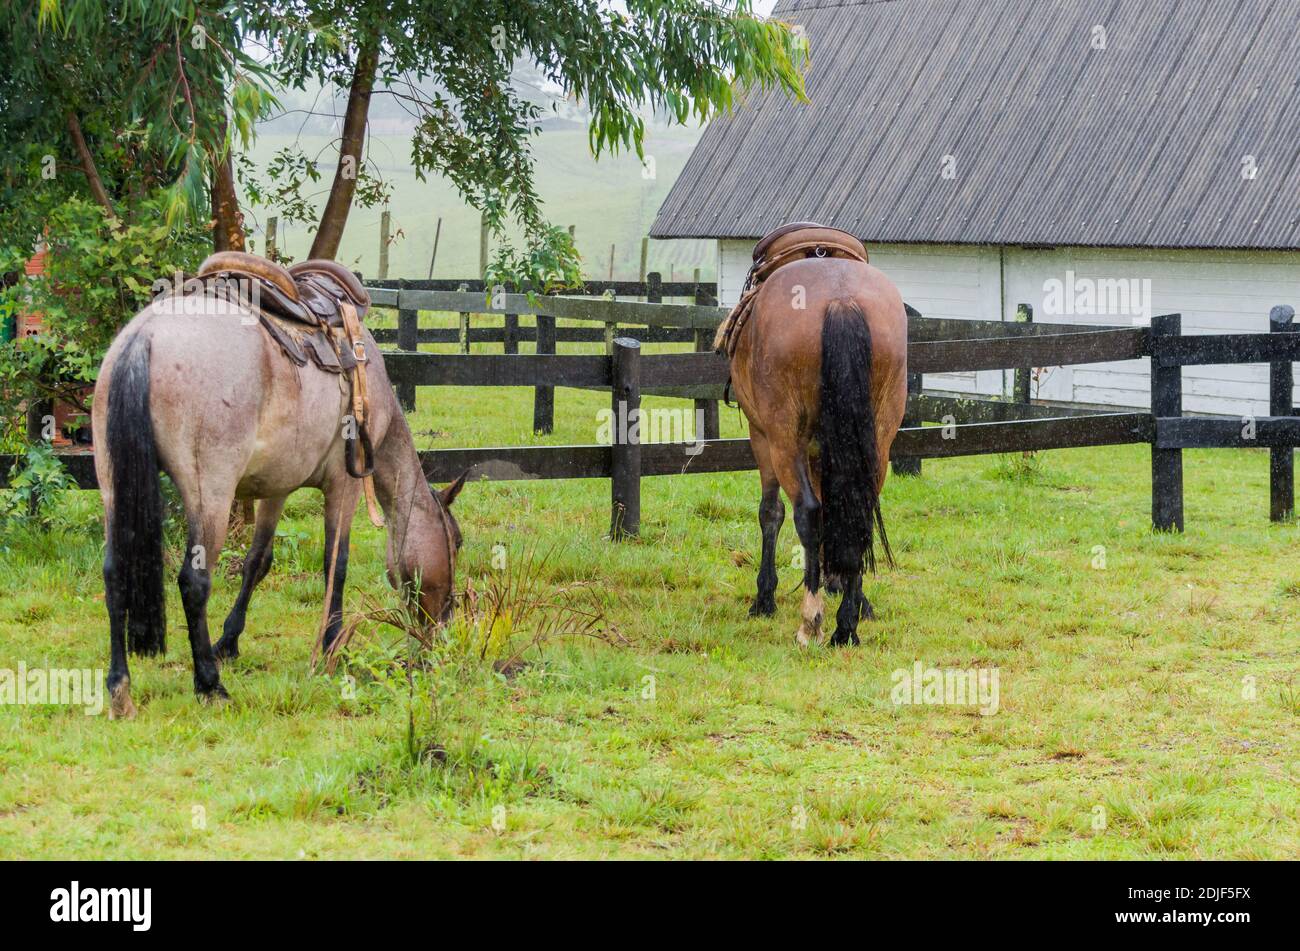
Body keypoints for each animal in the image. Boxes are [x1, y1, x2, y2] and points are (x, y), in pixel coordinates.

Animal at [91, 267, 465, 718]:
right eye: (456, 543)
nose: (446, 624)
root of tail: (145, 337)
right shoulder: (345, 485)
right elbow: (336, 564)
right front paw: (332, 644)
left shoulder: (275, 489)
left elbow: (257, 562)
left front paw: (229, 641)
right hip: (210, 497)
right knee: (194, 582)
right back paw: (209, 684)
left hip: (113, 488)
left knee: (115, 574)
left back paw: (120, 687)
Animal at [724, 225, 907, 647]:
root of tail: (840, 299)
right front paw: (847, 591)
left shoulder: (762, 437)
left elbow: (771, 512)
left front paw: (764, 597)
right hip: (879, 437)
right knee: (859, 509)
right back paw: (846, 626)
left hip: (783, 438)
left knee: (806, 511)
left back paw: (811, 621)